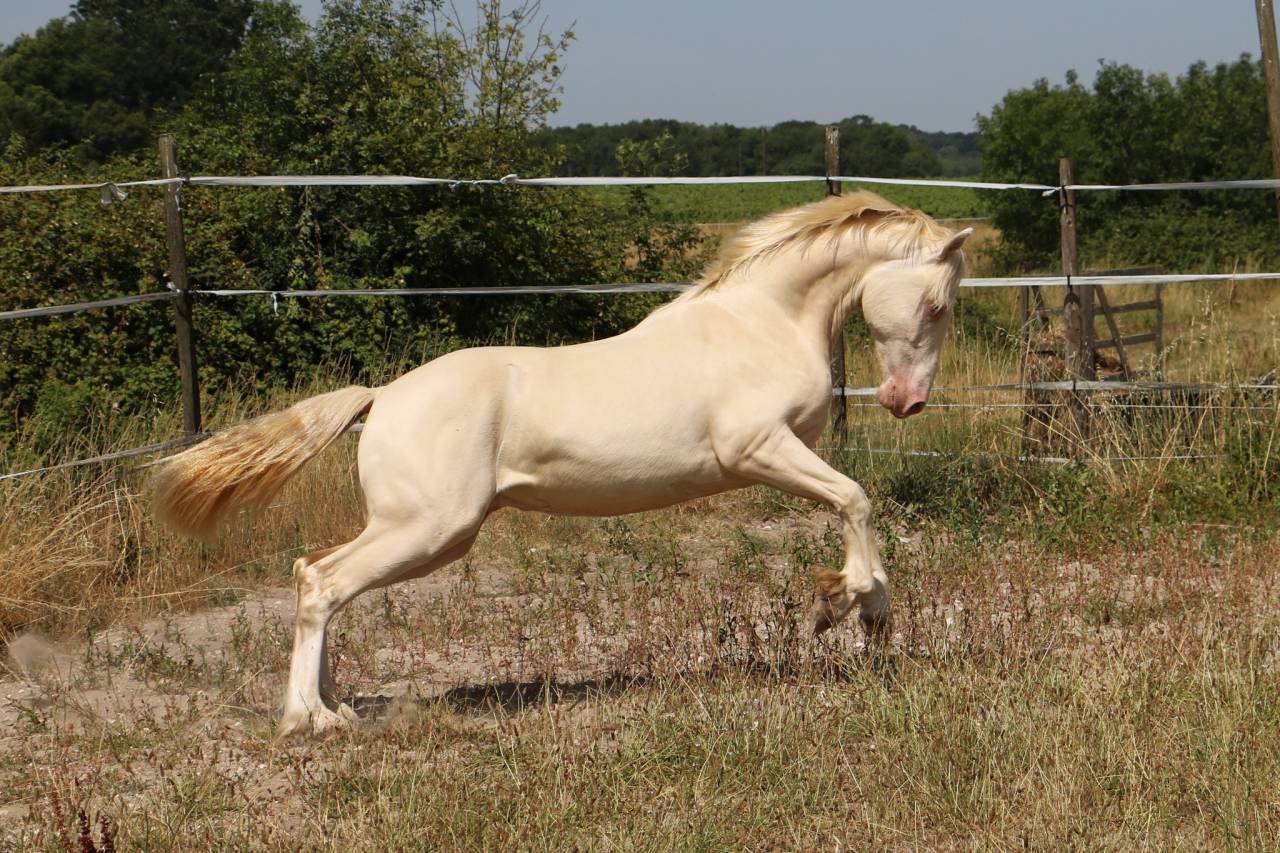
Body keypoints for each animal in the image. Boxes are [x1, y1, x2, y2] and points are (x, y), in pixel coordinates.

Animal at [152, 191, 971, 737]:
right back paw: (311, 721)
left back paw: (336, 704)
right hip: (430, 528)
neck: (758, 323)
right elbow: (856, 498)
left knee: (314, 574)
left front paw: (869, 617)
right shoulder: (758, 449)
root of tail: (381, 397)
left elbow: (853, 506)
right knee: (323, 583)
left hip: (418, 531)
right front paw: (841, 606)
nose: (906, 402)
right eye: (936, 306)